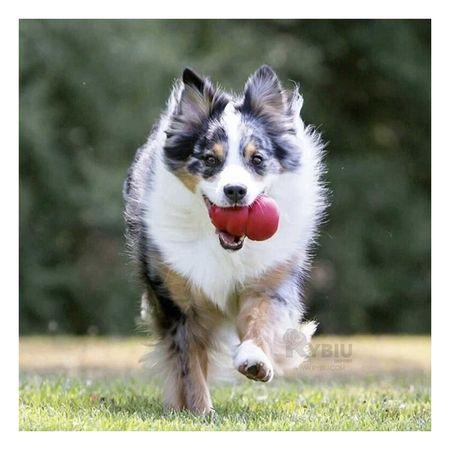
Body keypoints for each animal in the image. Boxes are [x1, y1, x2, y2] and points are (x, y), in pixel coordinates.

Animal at [124, 66, 326, 414]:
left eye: (257, 159)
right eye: (209, 160)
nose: (235, 191)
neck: (223, 245)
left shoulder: (268, 282)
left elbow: (261, 319)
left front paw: (255, 361)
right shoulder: (179, 302)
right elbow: (189, 363)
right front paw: (201, 411)